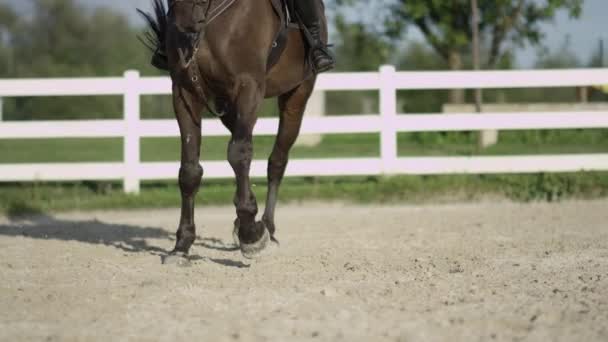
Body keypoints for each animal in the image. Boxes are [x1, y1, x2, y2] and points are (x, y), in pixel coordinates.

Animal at [139, 0, 328, 260]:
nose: (187, 26)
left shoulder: (249, 87)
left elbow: (238, 154)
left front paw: (251, 234)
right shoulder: (184, 91)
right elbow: (190, 170)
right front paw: (182, 244)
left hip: (297, 95)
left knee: (276, 161)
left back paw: (266, 226)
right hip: (225, 105)